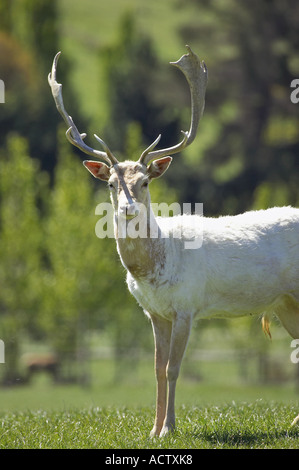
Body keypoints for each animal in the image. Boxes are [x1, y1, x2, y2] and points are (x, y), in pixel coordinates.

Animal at [49, 46, 299, 436]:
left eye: (145, 182)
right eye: (111, 184)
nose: (128, 209)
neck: (152, 268)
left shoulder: (186, 306)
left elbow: (173, 368)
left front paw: (169, 428)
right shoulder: (154, 312)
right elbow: (155, 369)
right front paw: (153, 430)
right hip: (286, 303)